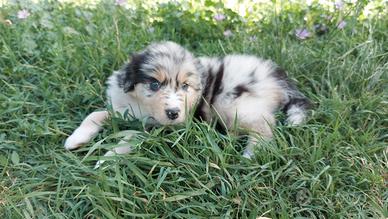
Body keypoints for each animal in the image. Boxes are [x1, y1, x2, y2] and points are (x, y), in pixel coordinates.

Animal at [65, 40, 310, 164]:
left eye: (185, 86)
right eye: (154, 84)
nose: (173, 113)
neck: (143, 106)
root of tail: (276, 76)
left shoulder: (161, 128)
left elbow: (129, 137)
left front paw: (107, 160)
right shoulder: (124, 108)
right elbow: (96, 114)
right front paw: (76, 139)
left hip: (232, 104)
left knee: (265, 125)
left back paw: (251, 152)